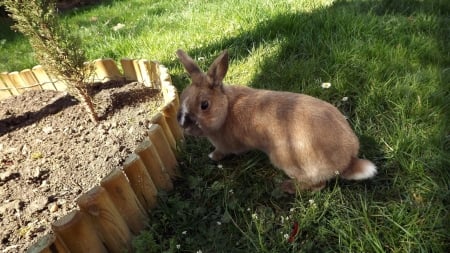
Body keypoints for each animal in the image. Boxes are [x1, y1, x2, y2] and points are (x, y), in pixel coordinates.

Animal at [176, 49, 376, 192]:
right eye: (183, 96)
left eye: (204, 105)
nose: (182, 124)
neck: (226, 108)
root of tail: (348, 161)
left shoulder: (225, 145)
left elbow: (221, 152)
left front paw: (212, 156)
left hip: (286, 161)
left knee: (318, 185)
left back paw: (286, 187)